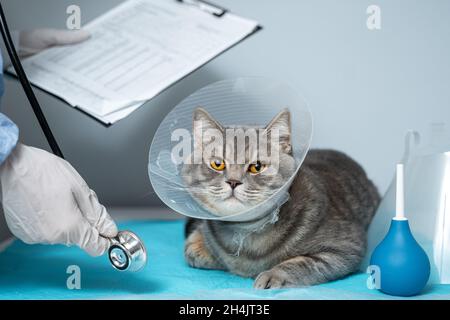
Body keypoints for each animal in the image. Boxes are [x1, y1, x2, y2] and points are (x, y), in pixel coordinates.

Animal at [182, 108, 380, 290]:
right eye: (217, 164)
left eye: (257, 166)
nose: (233, 181)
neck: (246, 231)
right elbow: (195, 250)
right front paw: (202, 247)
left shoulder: (346, 247)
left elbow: (302, 262)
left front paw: (273, 274)